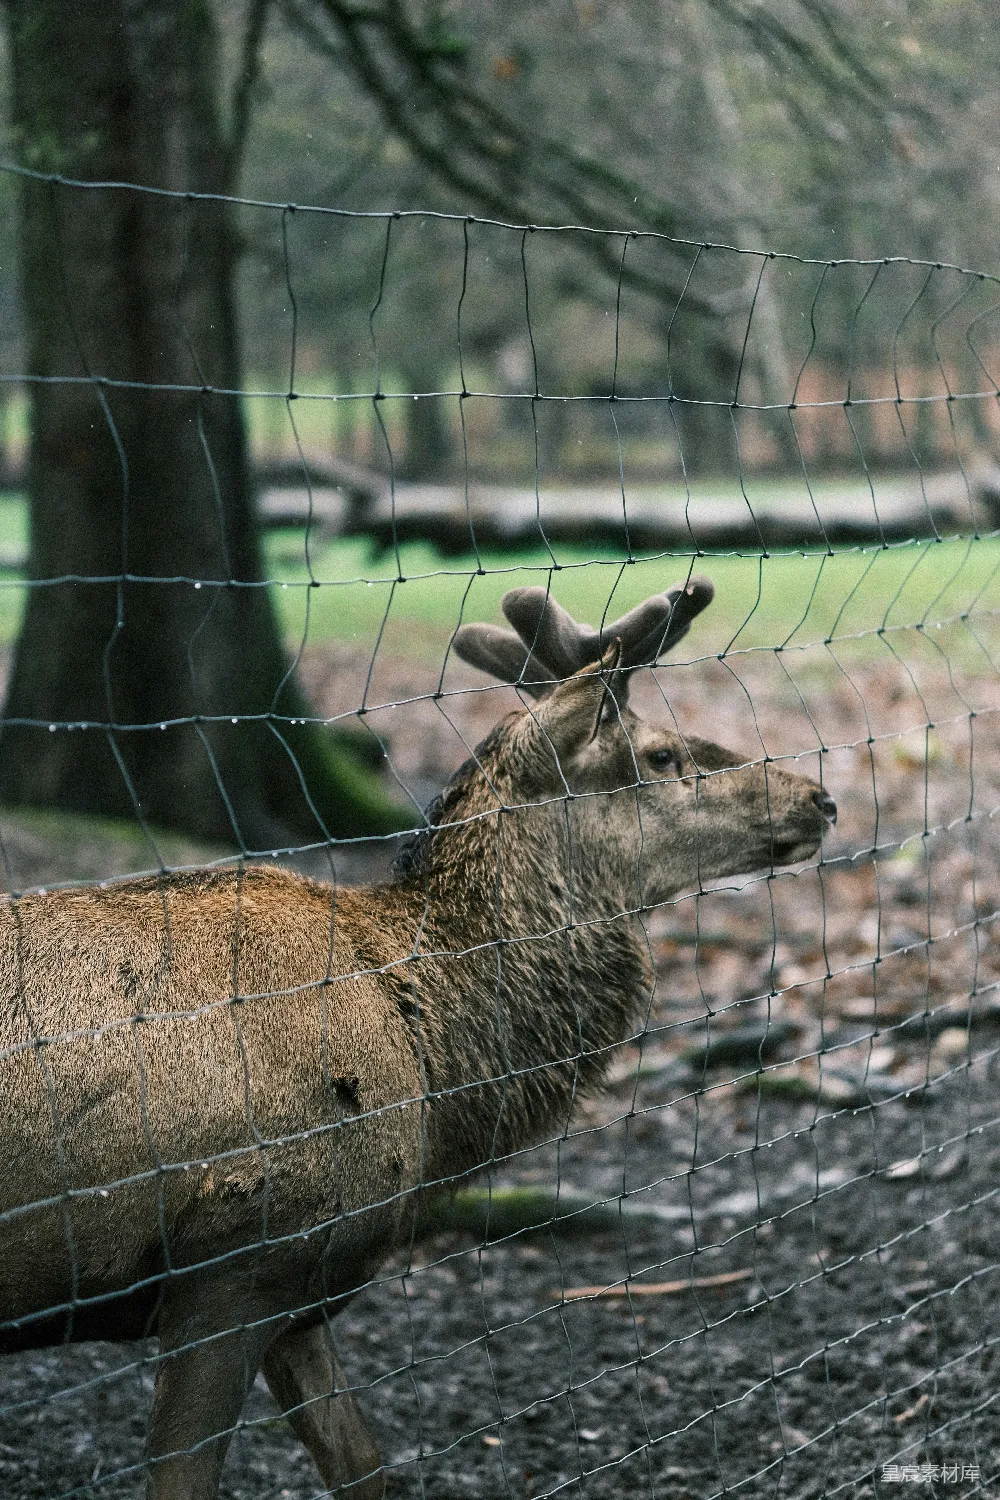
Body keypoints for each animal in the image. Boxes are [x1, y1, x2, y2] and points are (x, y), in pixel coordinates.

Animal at [0, 574, 835, 1500]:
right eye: (659, 756)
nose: (819, 796)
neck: (429, 1077)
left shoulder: (304, 1279)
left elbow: (363, 1467)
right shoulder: (234, 1258)